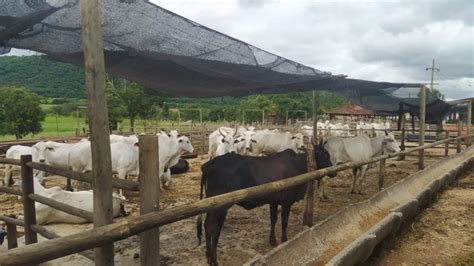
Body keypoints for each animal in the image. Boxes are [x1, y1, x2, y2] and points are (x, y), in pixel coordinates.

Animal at [196, 149, 334, 264]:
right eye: (325, 155)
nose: (333, 172)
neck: (298, 165)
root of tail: (211, 163)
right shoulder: (287, 201)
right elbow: (284, 222)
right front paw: (284, 240)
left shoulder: (273, 201)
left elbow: (273, 219)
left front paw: (272, 240)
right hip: (221, 207)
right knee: (214, 229)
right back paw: (214, 260)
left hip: (211, 205)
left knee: (207, 226)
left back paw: (208, 256)